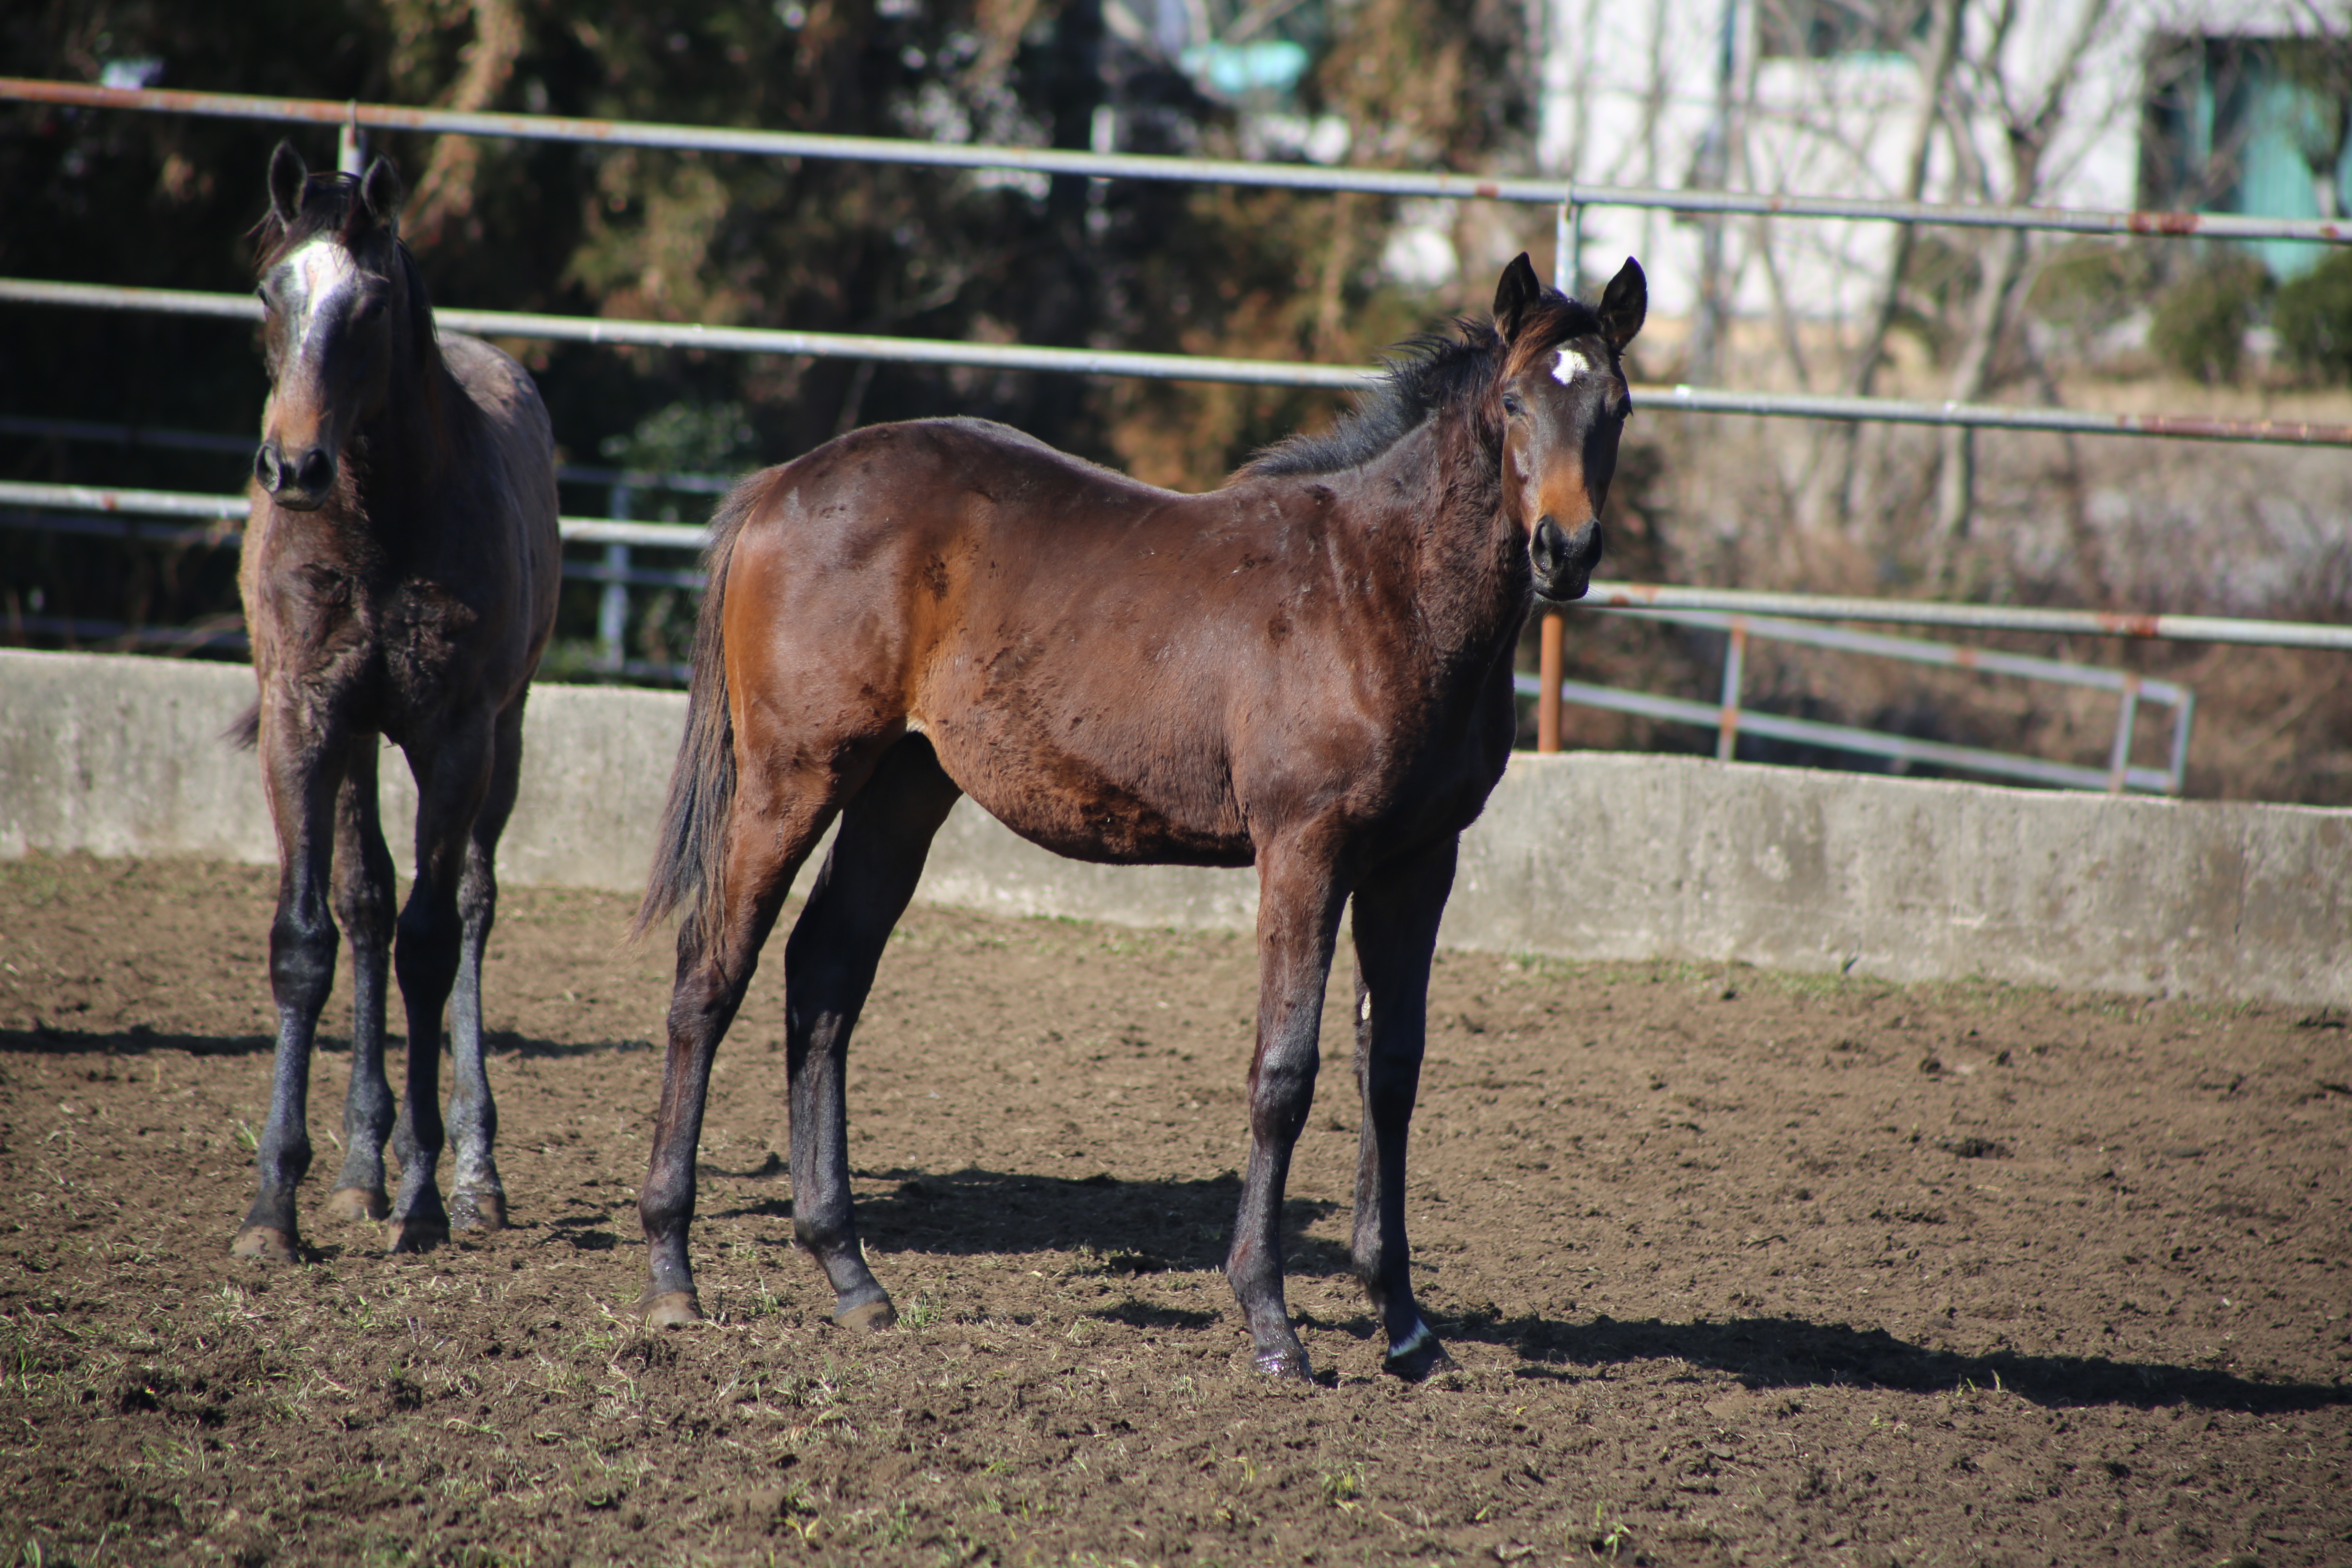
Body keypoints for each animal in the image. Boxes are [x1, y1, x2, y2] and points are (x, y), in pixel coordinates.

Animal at [230, 144, 564, 1260]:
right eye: (271, 292)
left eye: (371, 307)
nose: (294, 465)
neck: (377, 523)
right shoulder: (306, 720)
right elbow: (310, 941)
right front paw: (275, 1207)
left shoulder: (454, 735)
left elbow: (430, 944)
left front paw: (425, 1196)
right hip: (359, 743)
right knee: (368, 902)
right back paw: (358, 1167)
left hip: (503, 736)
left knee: (466, 908)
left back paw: (470, 1172)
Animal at [635, 252, 1646, 1382]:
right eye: (1513, 403)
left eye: (1616, 406)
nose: (1564, 550)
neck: (1377, 587)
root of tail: (778, 487)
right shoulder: (1305, 849)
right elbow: (1283, 1071)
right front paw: (1271, 1323)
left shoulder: (1417, 863)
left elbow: (1390, 1072)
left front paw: (1408, 1329)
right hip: (791, 777)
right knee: (709, 976)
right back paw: (672, 1273)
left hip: (903, 788)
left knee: (822, 979)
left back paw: (850, 1276)